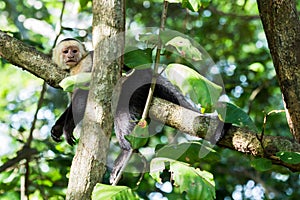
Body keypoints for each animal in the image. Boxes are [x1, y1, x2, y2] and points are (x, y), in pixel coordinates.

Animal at [51, 37, 211, 184]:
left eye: (74, 50)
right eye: (65, 51)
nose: (70, 56)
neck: (76, 66)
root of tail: (152, 74)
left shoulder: (87, 63)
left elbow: (85, 92)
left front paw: (68, 128)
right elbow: (73, 103)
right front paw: (57, 128)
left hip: (137, 82)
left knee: (121, 109)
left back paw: (126, 151)